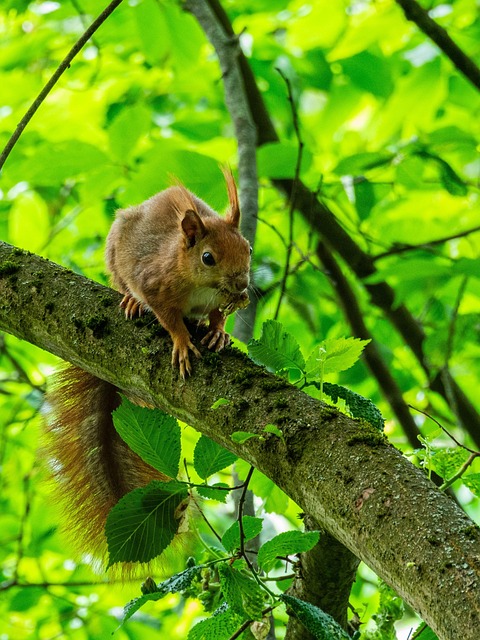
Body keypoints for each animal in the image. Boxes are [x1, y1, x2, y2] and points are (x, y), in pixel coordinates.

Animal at [44, 169, 251, 570]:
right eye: (208, 257)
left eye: (248, 248)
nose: (242, 285)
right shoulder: (154, 281)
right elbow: (168, 317)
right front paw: (183, 343)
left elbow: (217, 314)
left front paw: (218, 330)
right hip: (117, 250)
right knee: (125, 284)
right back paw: (129, 301)